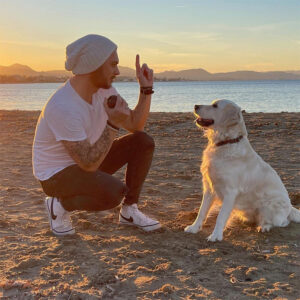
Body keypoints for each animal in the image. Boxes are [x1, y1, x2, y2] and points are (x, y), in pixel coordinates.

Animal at [185, 99, 300, 243]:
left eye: (215, 106)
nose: (195, 106)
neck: (226, 143)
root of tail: (290, 207)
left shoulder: (230, 191)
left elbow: (221, 216)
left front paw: (216, 235)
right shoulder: (209, 187)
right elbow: (202, 211)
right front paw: (194, 228)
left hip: (269, 205)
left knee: (282, 222)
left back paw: (264, 227)